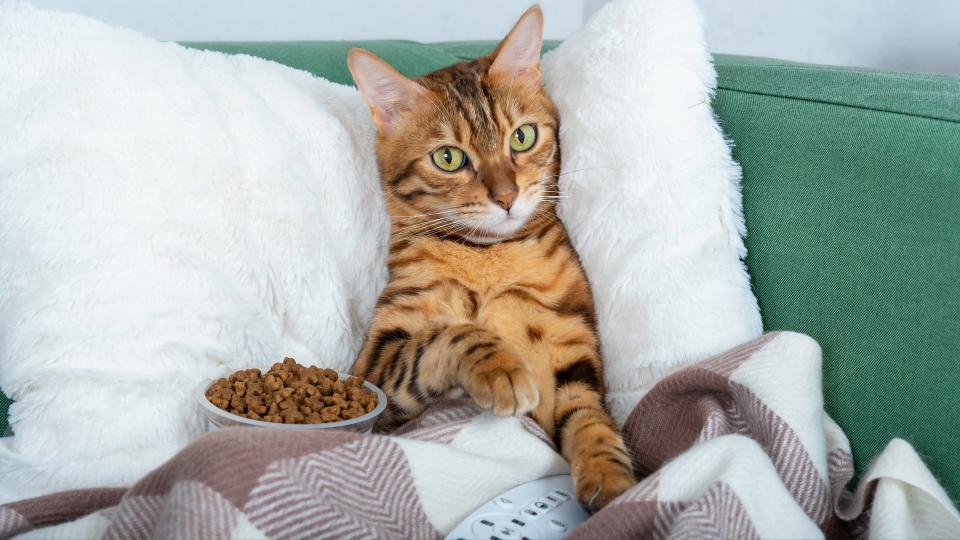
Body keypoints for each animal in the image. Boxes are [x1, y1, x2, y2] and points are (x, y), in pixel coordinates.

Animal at [348, 6, 632, 508]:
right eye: (447, 158)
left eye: (522, 137)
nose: (506, 197)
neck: (489, 256)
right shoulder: (373, 367)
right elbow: (450, 334)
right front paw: (501, 366)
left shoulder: (572, 346)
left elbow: (588, 417)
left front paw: (609, 477)